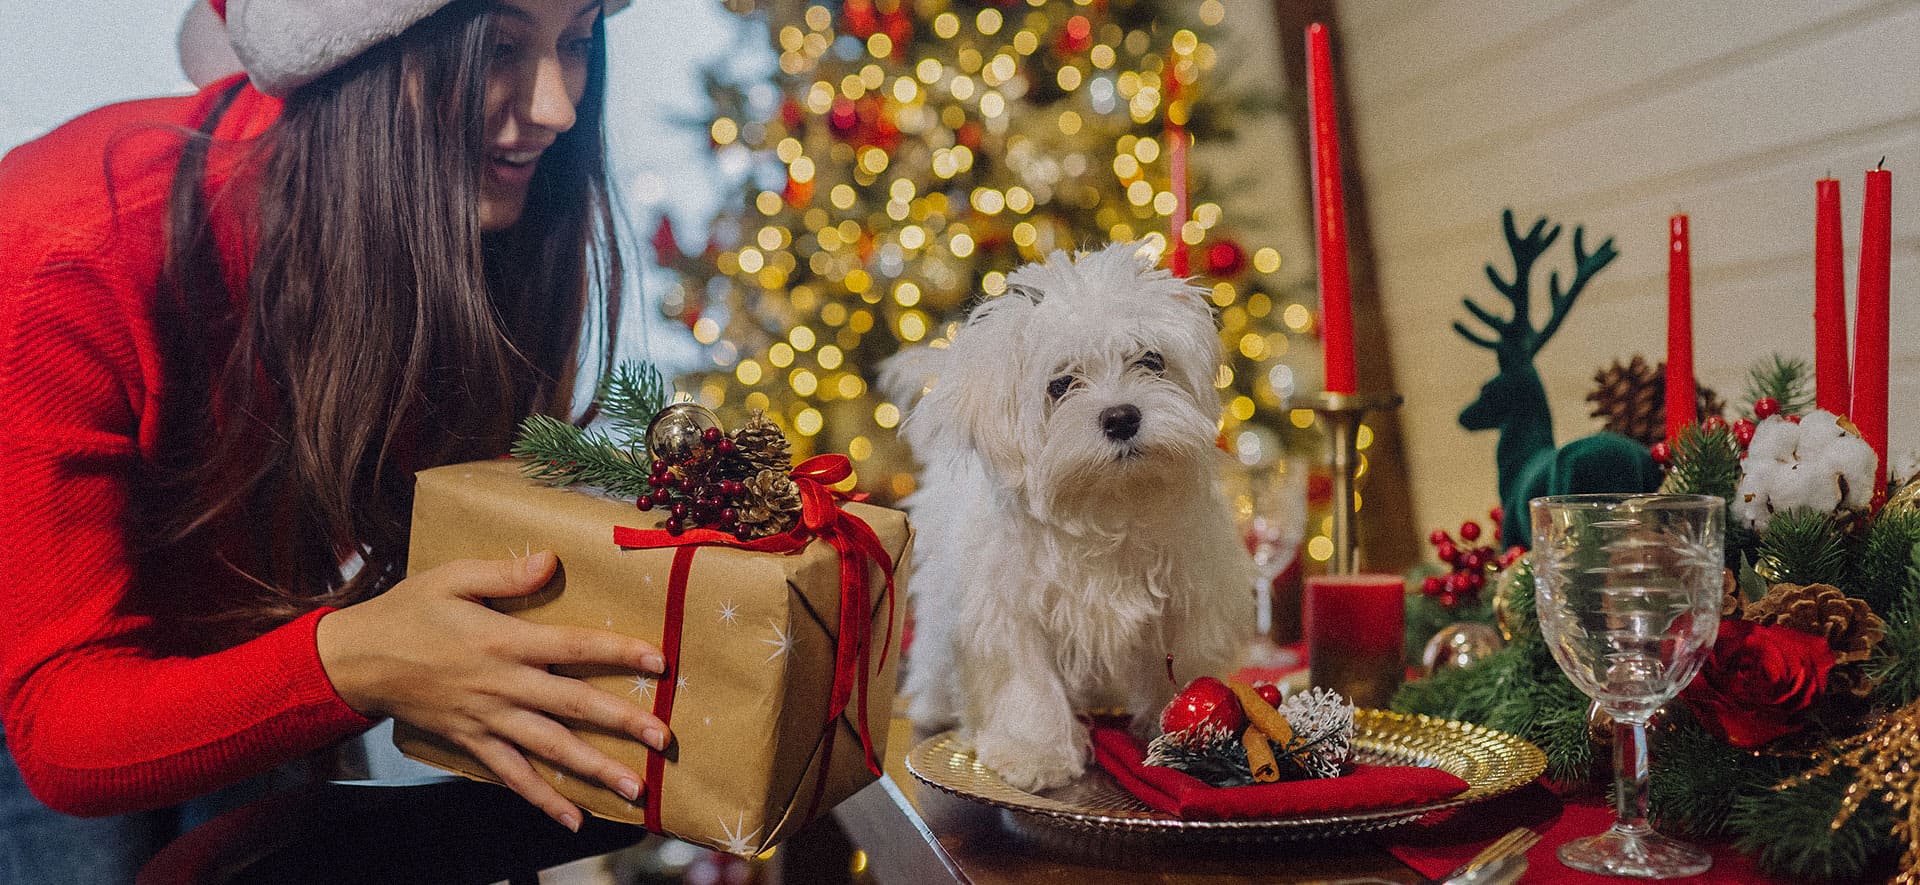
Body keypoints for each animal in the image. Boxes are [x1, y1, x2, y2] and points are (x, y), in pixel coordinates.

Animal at [883, 239, 1259, 787]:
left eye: (1151, 361)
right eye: (1060, 385)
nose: (1121, 417)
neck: (1106, 503)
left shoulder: (1191, 595)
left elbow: (1186, 663)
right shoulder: (1008, 610)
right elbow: (1027, 683)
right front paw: (1035, 753)